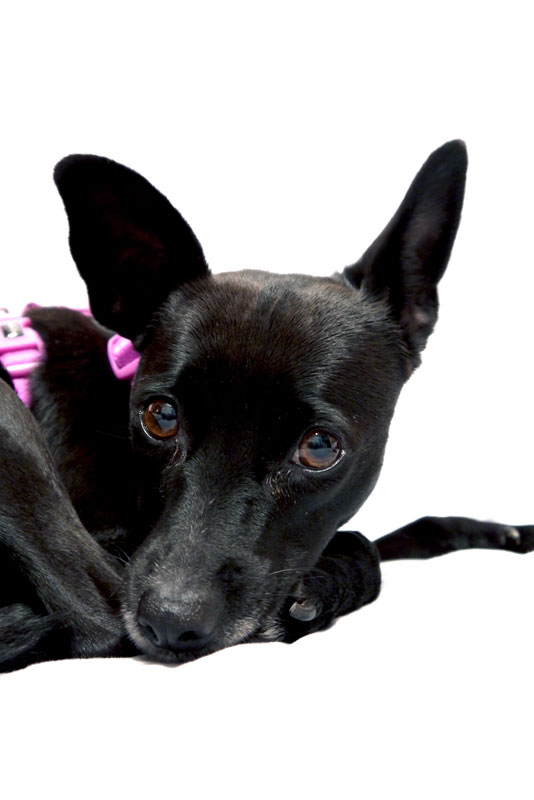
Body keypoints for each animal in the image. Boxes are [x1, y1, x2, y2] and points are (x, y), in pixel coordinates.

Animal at [1, 140, 532, 673]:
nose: (170, 621)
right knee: (98, 623)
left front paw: (497, 531)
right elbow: (367, 548)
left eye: (320, 448)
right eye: (160, 417)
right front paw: (328, 585)